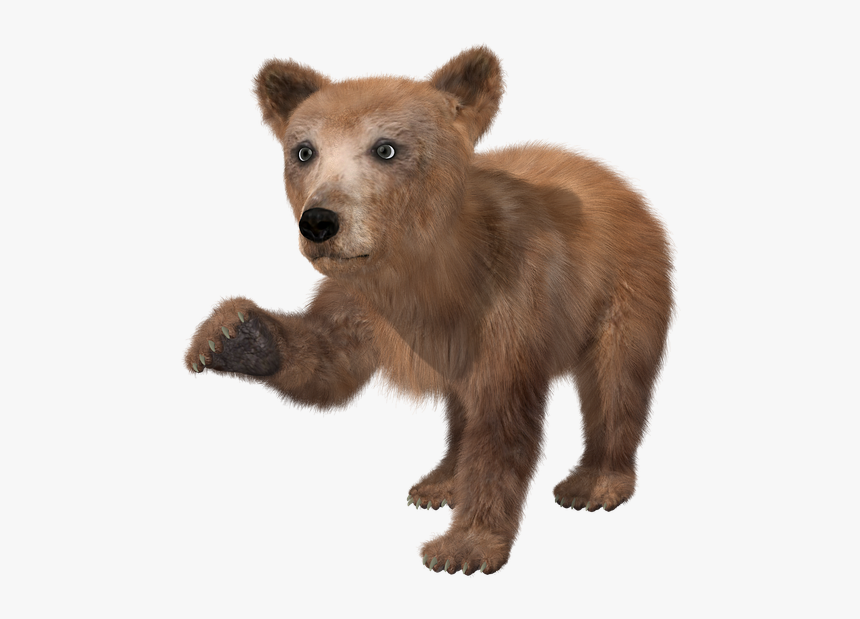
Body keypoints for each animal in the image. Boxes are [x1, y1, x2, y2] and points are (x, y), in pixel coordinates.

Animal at [185, 46, 673, 575]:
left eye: (386, 148)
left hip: (625, 285)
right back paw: (441, 482)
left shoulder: (511, 300)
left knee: (615, 378)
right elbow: (328, 360)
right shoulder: (361, 301)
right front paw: (232, 336)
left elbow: (502, 422)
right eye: (304, 150)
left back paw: (596, 483)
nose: (318, 221)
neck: (422, 275)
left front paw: (464, 546)